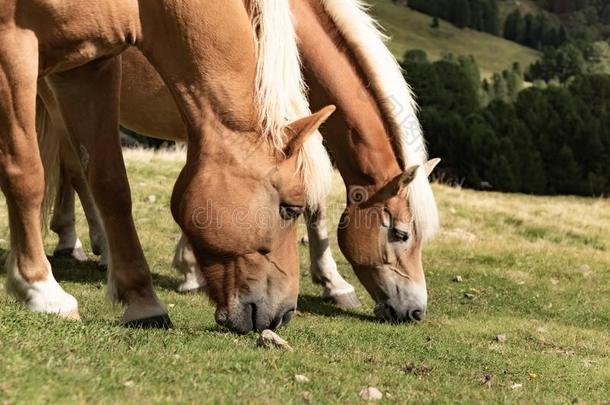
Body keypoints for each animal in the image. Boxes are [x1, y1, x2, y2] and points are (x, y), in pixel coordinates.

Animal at [0, 0, 332, 332]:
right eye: (290, 209)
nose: (284, 314)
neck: (145, 8)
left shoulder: (89, 67)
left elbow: (111, 185)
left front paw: (143, 302)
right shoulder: (12, 48)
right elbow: (26, 175)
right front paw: (41, 288)